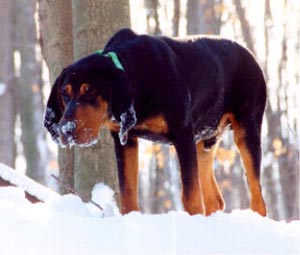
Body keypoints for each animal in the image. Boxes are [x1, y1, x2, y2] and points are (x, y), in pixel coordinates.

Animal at [45, 27, 268, 215]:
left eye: (90, 91)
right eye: (65, 94)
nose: (66, 130)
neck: (135, 75)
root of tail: (251, 55)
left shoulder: (182, 135)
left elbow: (191, 197)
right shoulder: (124, 140)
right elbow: (127, 194)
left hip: (246, 132)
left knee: (258, 197)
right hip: (204, 142)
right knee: (215, 200)